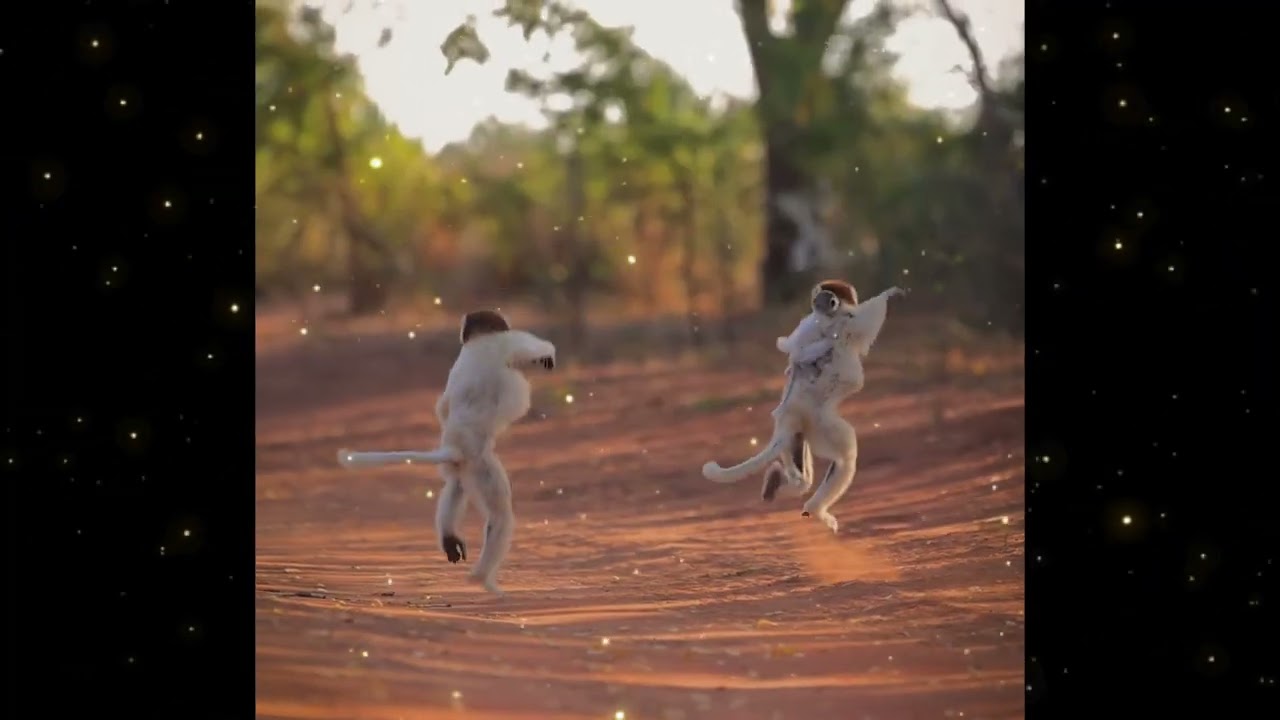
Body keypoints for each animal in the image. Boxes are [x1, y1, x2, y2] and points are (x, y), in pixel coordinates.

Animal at [337, 309, 556, 596]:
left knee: (456, 485)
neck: (479, 339)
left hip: (463, 462)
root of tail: (455, 444)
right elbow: (530, 347)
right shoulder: (505, 341)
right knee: (500, 514)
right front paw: (546, 356)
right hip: (480, 461)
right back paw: (481, 579)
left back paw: (450, 538)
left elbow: (442, 406)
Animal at [701, 280, 905, 534]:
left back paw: (779, 482)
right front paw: (890, 295)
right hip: (820, 422)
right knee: (845, 457)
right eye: (823, 296)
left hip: (801, 432)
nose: (819, 301)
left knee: (803, 476)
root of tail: (788, 413)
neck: (832, 315)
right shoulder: (843, 321)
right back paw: (815, 508)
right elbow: (863, 321)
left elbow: (798, 349)